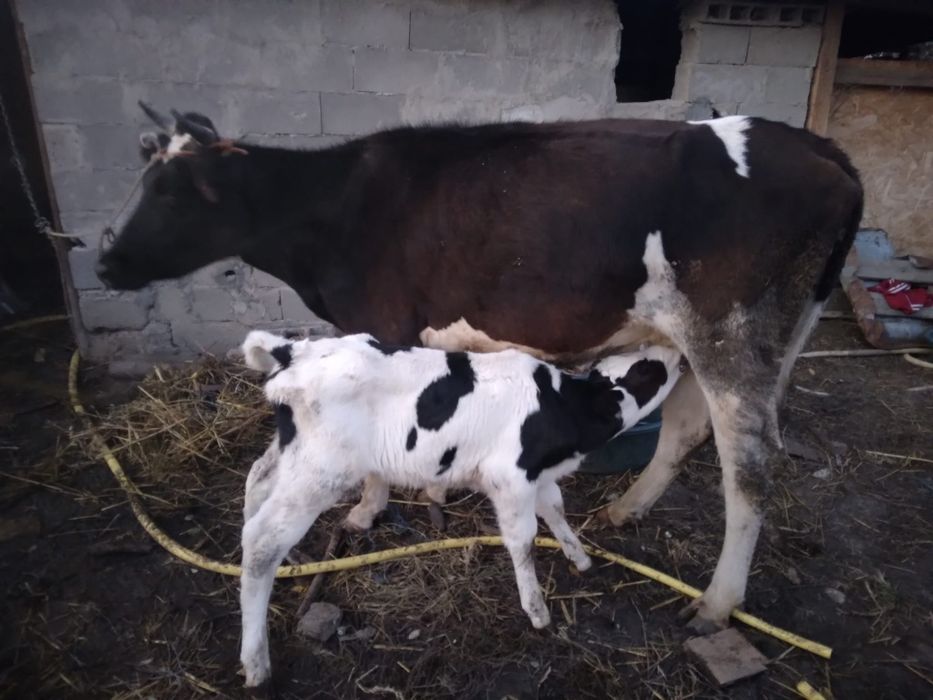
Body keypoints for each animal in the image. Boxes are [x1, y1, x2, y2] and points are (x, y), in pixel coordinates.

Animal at [96, 103, 863, 633]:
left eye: (169, 194)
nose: (103, 263)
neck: (334, 213)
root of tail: (815, 146)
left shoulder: (383, 324)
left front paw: (368, 510)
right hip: (708, 335)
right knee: (684, 428)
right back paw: (626, 509)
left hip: (730, 334)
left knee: (750, 466)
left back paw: (717, 601)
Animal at [238, 329, 683, 687]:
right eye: (649, 368)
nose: (678, 352)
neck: (561, 408)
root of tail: (294, 350)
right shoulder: (509, 478)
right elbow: (523, 539)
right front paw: (537, 609)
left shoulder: (536, 476)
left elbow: (555, 509)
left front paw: (580, 557)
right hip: (322, 471)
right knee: (262, 540)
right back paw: (256, 661)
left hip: (295, 455)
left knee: (256, 481)